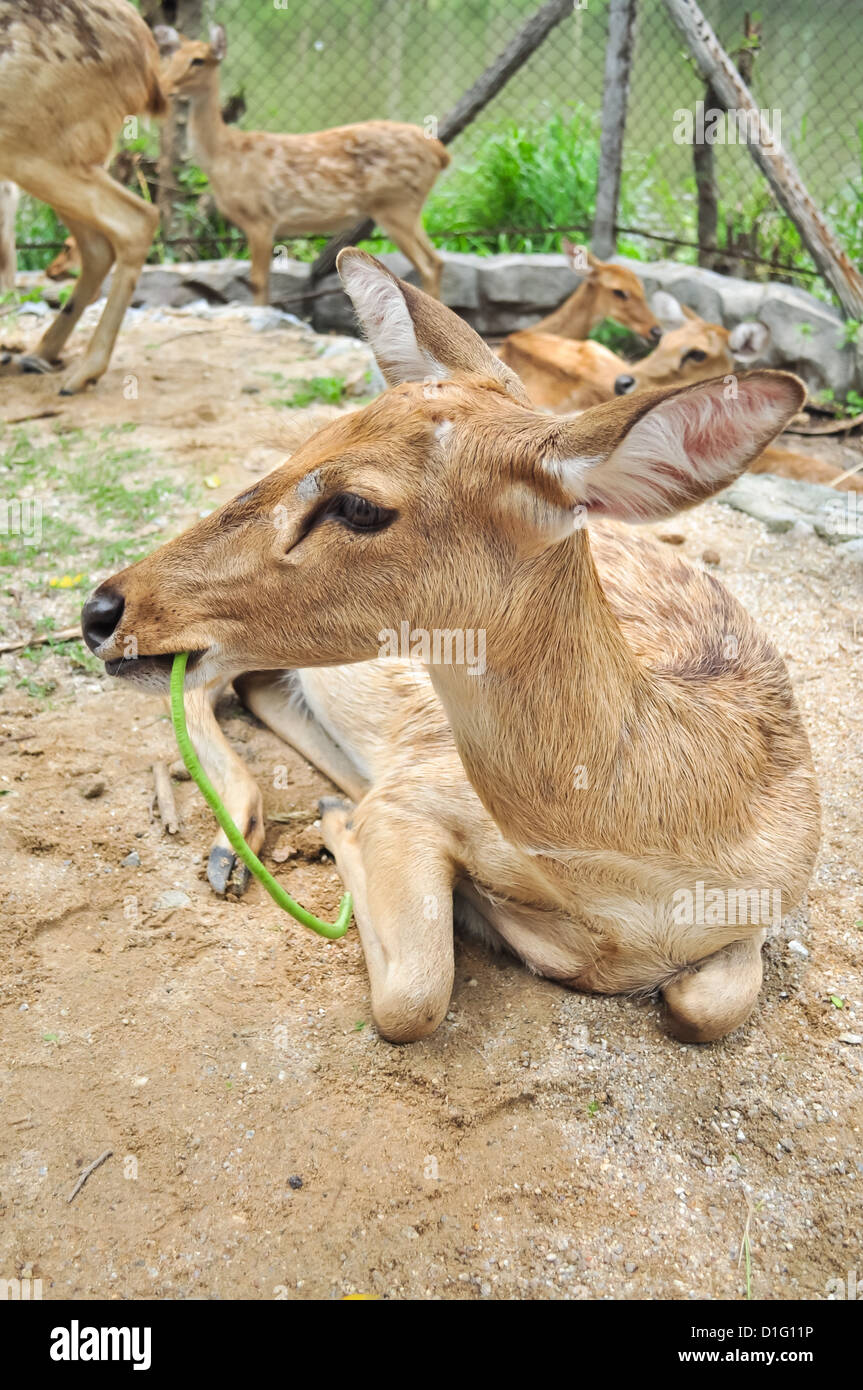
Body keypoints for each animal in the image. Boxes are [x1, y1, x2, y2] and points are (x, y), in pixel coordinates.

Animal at [0, 1, 163, 391]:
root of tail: (148, 63)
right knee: (98, 246)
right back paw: (43, 353)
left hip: (34, 148)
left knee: (136, 220)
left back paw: (83, 371)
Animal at [84, 252, 817, 1050]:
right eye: (307, 442)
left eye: (359, 505)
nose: (101, 610)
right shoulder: (414, 795)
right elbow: (416, 994)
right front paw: (344, 825)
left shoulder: (760, 915)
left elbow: (708, 1005)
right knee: (203, 691)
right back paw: (240, 844)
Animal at [156, 21, 450, 305]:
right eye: (171, 57)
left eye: (198, 60)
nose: (164, 86)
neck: (224, 157)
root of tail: (441, 153)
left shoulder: (261, 217)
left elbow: (259, 284)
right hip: (405, 207)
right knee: (436, 261)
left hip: (395, 203)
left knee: (428, 265)